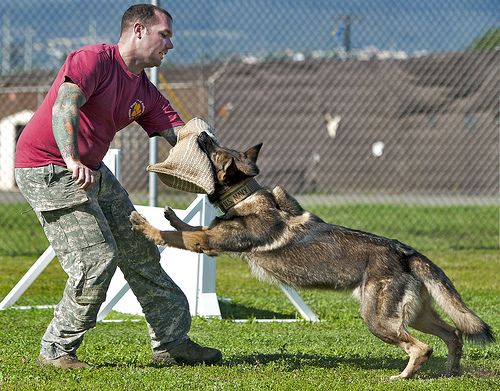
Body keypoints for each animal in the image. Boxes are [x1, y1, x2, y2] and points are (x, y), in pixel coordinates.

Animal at [131, 132, 494, 380]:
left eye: (215, 151)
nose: (204, 134)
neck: (245, 195)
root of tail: (404, 251)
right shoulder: (208, 237)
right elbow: (189, 226)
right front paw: (170, 216)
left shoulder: (208, 242)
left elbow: (181, 235)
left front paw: (145, 224)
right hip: (415, 315)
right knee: (454, 333)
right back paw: (451, 372)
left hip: (377, 319)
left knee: (422, 347)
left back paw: (403, 376)